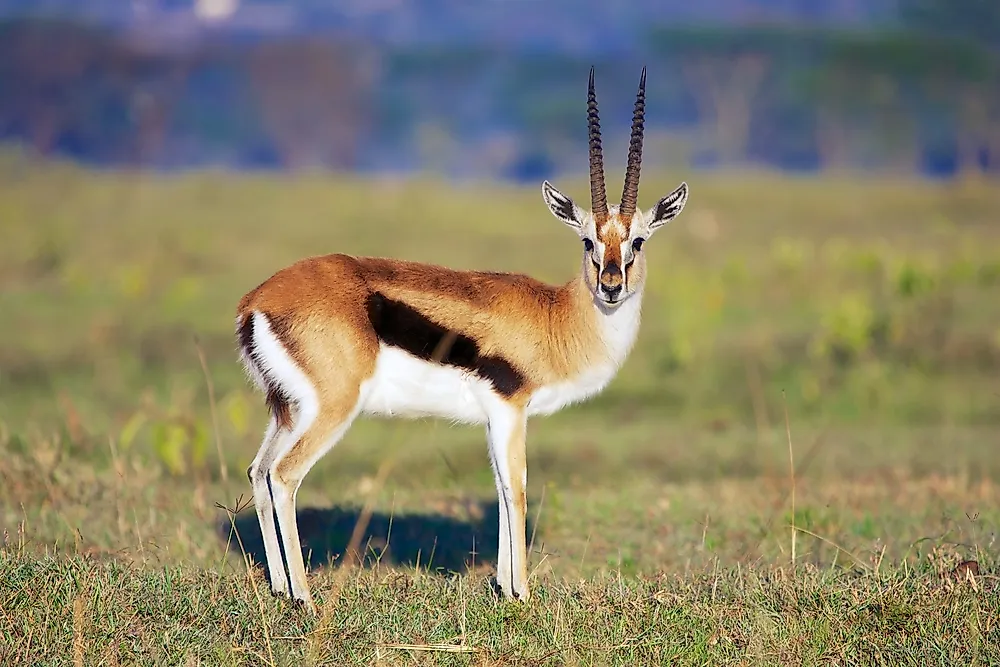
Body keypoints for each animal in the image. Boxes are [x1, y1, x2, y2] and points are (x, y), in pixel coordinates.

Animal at [235, 66, 689, 613]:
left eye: (637, 240)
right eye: (588, 241)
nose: (611, 285)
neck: (556, 317)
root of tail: (257, 300)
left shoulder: (495, 416)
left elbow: (499, 488)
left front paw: (504, 587)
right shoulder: (511, 408)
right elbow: (516, 489)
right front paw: (521, 594)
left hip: (287, 410)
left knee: (259, 471)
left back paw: (280, 588)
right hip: (331, 409)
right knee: (284, 475)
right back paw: (304, 596)